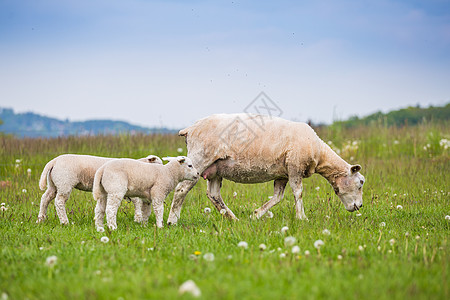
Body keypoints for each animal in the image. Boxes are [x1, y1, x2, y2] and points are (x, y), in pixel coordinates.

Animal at [167, 113, 364, 224]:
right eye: (361, 182)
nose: (360, 206)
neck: (320, 152)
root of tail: (190, 128)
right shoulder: (295, 166)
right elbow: (298, 193)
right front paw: (302, 218)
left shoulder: (282, 174)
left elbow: (277, 197)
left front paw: (255, 215)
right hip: (200, 159)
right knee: (181, 189)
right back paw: (172, 221)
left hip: (215, 168)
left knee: (214, 195)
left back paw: (233, 219)